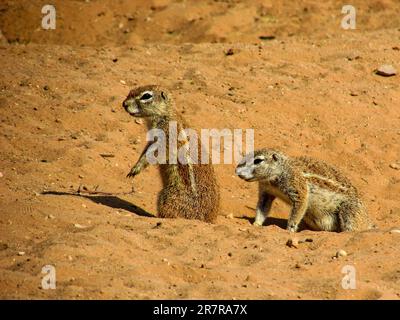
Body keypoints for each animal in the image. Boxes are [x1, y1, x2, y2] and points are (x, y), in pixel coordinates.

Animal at [122, 85, 220, 222]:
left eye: (146, 96)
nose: (124, 104)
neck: (166, 114)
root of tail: (206, 219)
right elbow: (145, 151)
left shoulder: (165, 137)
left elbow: (152, 153)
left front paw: (137, 168)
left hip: (166, 197)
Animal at [236, 148, 374, 232]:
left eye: (258, 160)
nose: (237, 171)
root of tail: (367, 220)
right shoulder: (266, 192)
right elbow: (262, 208)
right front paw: (256, 224)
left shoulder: (298, 188)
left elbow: (298, 209)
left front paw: (289, 230)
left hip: (349, 211)